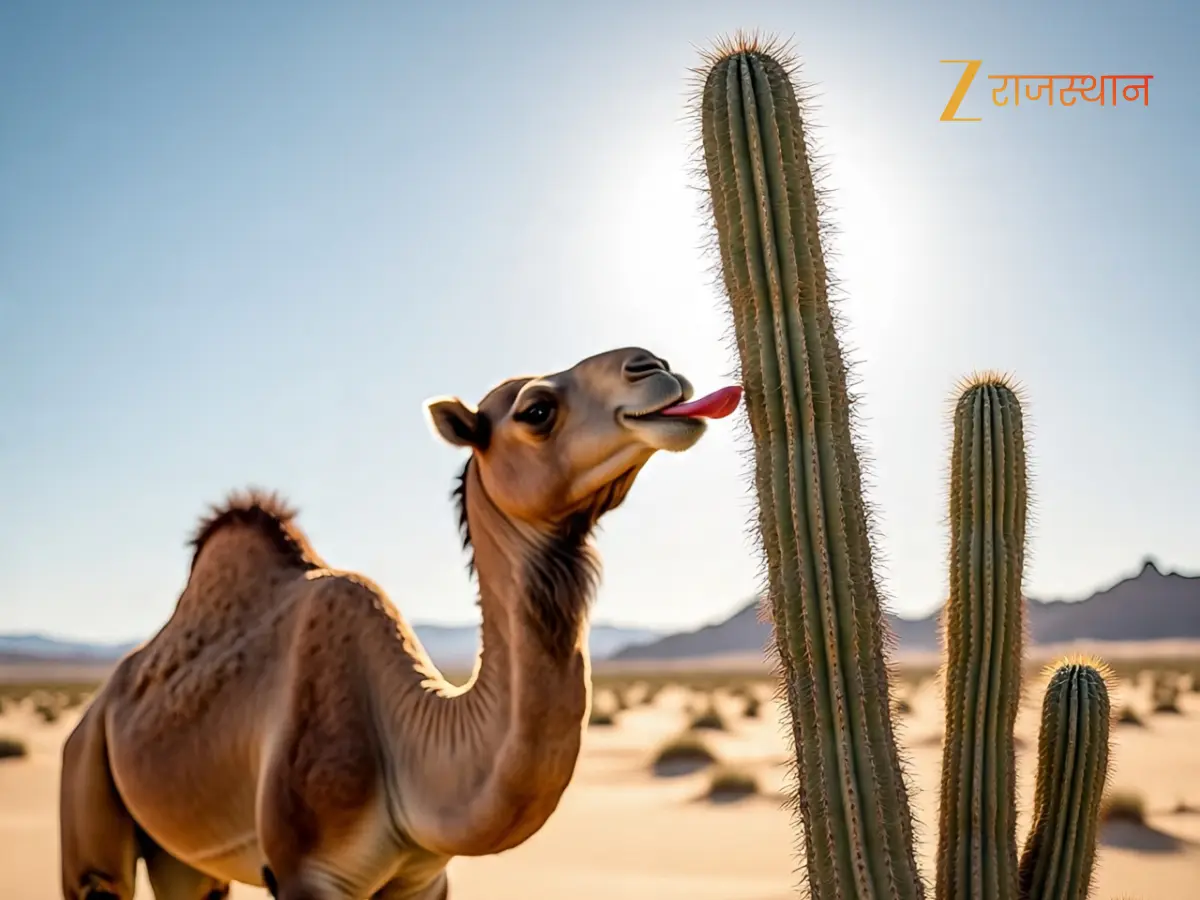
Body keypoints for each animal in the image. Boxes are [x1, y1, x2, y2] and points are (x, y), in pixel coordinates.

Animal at [59, 347, 742, 900]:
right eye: (536, 410)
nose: (654, 366)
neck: (413, 744)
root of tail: (99, 707)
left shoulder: (422, 876)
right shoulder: (307, 873)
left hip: (184, 859)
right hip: (86, 794)